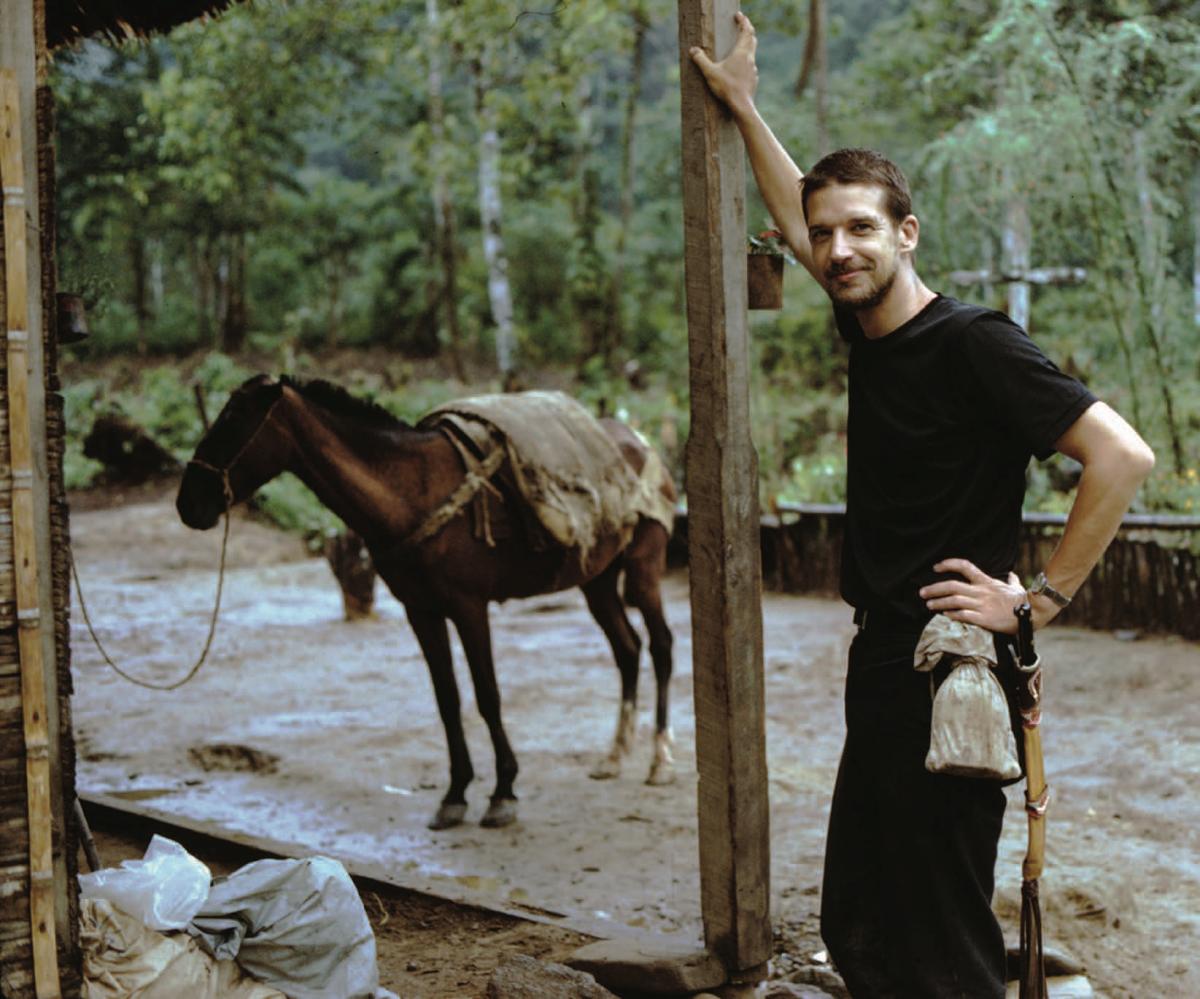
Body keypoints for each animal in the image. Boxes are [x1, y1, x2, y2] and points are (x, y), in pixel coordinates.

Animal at [176, 374, 676, 826]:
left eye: (234, 419)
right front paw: (455, 794)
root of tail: (639, 441)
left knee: (661, 647)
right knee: (628, 649)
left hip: (644, 571)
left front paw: (503, 792)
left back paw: (659, 761)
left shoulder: (470, 608)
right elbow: (447, 699)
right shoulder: (421, 611)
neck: (411, 491)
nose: (187, 504)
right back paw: (614, 757)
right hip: (597, 579)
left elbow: (487, 696)